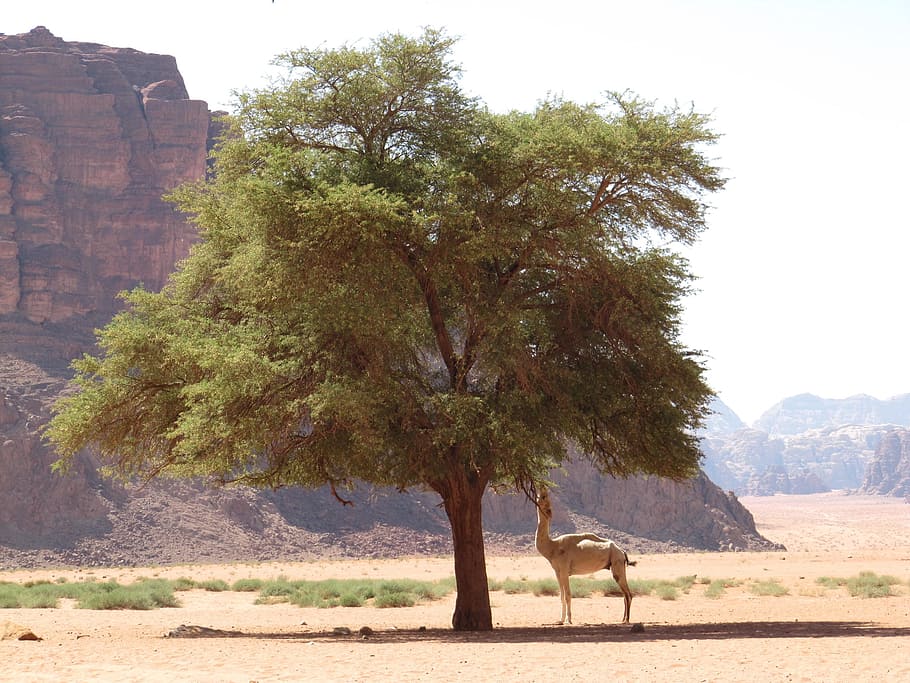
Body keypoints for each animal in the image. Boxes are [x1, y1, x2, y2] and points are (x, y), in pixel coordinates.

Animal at [535, 486, 636, 624]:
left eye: (544, 497)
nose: (541, 488)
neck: (552, 547)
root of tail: (622, 551)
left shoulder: (564, 570)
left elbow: (568, 595)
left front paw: (569, 620)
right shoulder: (557, 572)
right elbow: (561, 596)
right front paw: (560, 620)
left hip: (617, 563)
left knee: (627, 594)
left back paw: (626, 620)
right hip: (618, 564)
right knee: (625, 594)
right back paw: (622, 619)